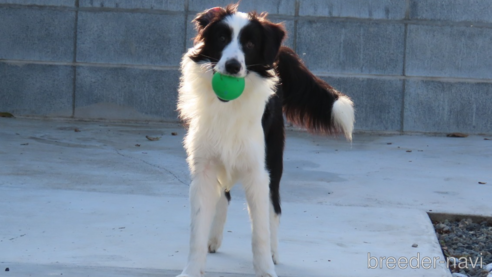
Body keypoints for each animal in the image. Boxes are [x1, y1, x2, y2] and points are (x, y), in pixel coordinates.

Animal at [177, 4, 354, 276]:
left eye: (250, 44)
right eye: (221, 38)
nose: (232, 66)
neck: (229, 106)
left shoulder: (258, 172)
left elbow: (260, 230)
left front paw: (266, 269)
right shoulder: (204, 168)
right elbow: (196, 230)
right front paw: (192, 269)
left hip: (274, 160)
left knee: (274, 209)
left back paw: (273, 252)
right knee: (224, 194)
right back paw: (214, 238)